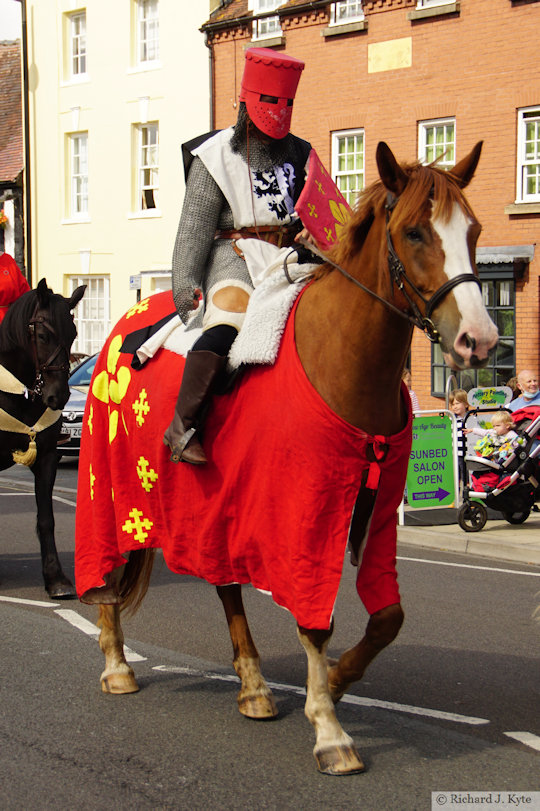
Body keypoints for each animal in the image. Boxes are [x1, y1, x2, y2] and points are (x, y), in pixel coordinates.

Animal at [0, 280, 85, 596]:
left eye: (73, 334)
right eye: (43, 335)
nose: (58, 396)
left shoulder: (47, 456)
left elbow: (47, 519)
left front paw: (56, 577)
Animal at [75, 143, 498, 776]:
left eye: (472, 230)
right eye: (415, 232)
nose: (479, 338)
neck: (338, 358)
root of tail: (123, 329)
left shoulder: (376, 517)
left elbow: (387, 618)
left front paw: (340, 682)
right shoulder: (305, 516)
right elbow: (314, 622)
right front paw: (329, 729)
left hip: (213, 508)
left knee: (225, 584)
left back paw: (253, 686)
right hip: (111, 489)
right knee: (108, 565)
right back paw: (117, 665)